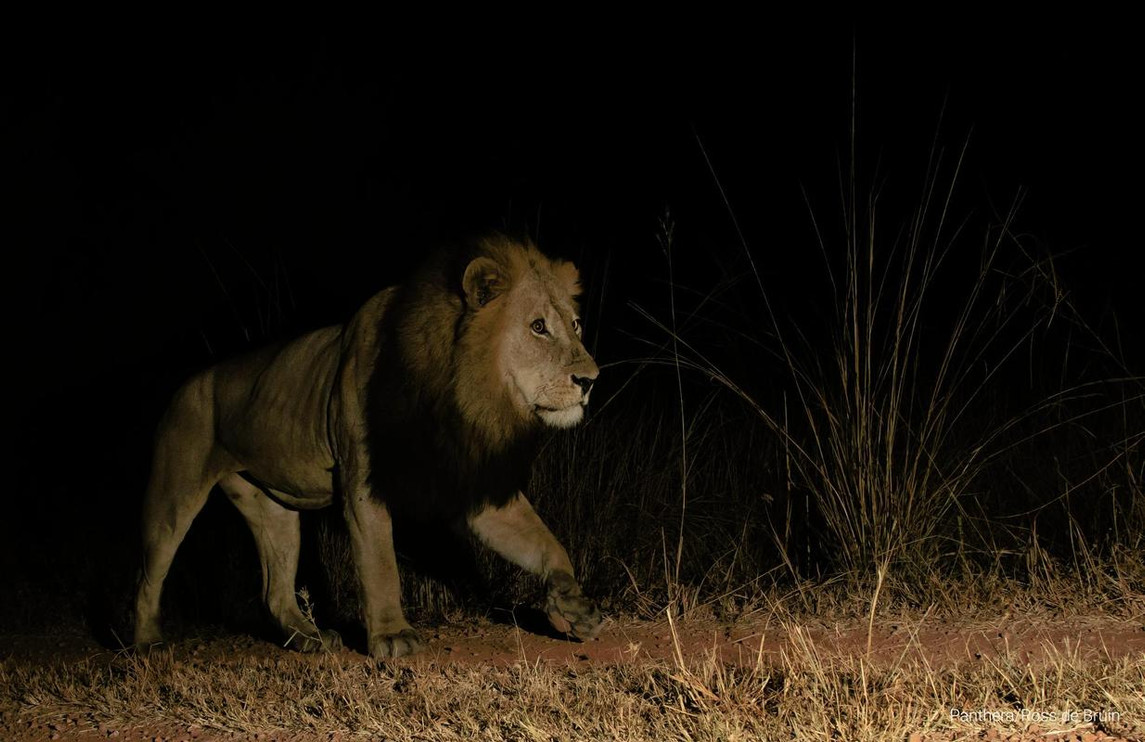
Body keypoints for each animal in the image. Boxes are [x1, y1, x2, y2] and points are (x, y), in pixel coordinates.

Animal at [134, 235, 603, 658]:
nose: (590, 380)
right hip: (174, 494)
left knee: (274, 590)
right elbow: (380, 563)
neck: (458, 391)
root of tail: (187, 384)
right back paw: (149, 644)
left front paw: (573, 605)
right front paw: (392, 637)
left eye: (575, 324)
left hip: (273, 510)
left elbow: (545, 542)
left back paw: (310, 639)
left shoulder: (470, 484)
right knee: (149, 576)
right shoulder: (362, 479)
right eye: (538, 327)